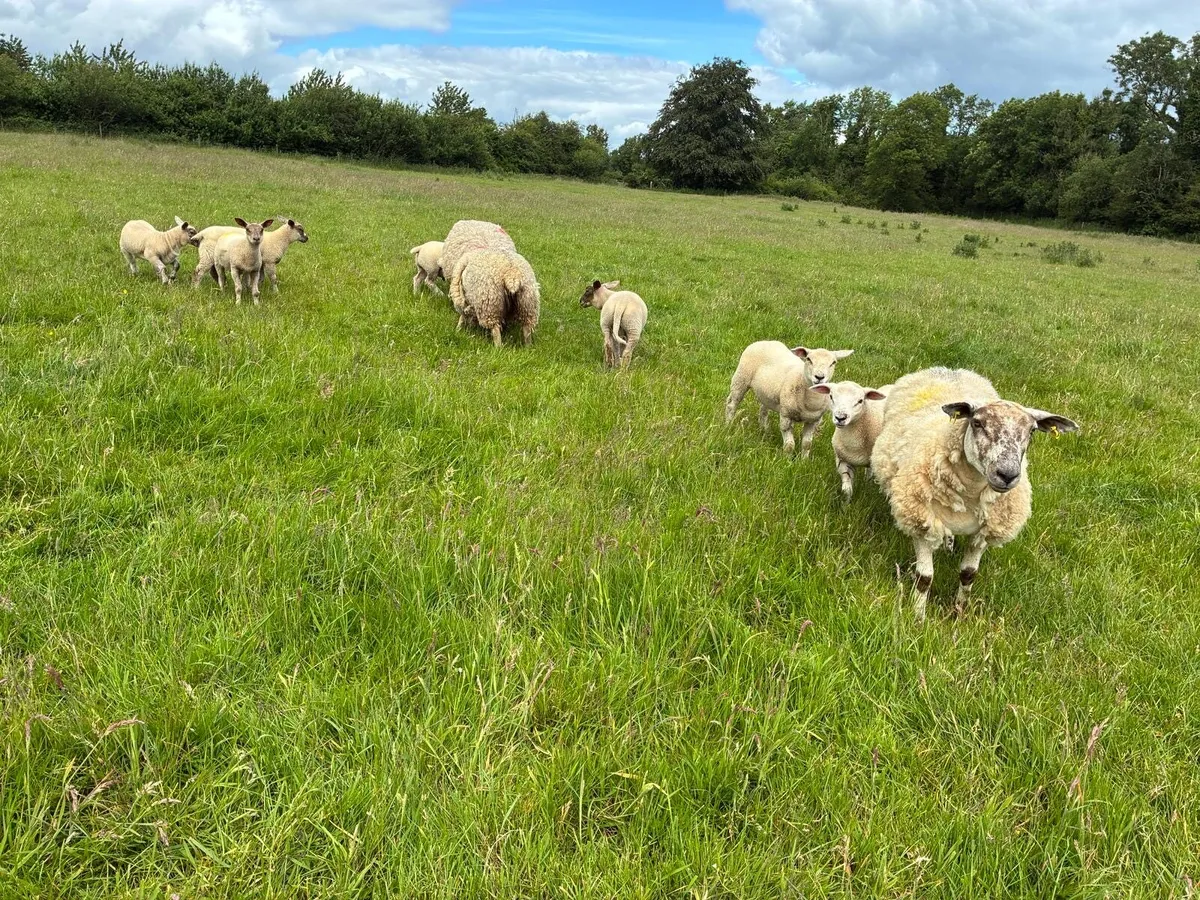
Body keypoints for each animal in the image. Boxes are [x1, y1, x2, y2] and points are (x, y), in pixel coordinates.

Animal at [724, 342, 853, 456]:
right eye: (808, 359)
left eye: (833, 362)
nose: (819, 377)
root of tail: (763, 341)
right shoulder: (786, 416)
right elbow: (789, 445)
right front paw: (787, 460)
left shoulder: (813, 421)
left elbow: (807, 444)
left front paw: (804, 461)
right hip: (741, 378)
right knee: (732, 404)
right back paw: (728, 425)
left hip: (766, 393)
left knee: (763, 411)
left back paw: (765, 431)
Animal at [869, 367, 1079, 623]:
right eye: (977, 423)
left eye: (1032, 431)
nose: (1007, 474)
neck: (969, 493)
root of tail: (949, 369)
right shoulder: (922, 524)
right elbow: (924, 578)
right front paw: (918, 617)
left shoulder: (985, 532)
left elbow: (968, 574)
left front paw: (959, 613)